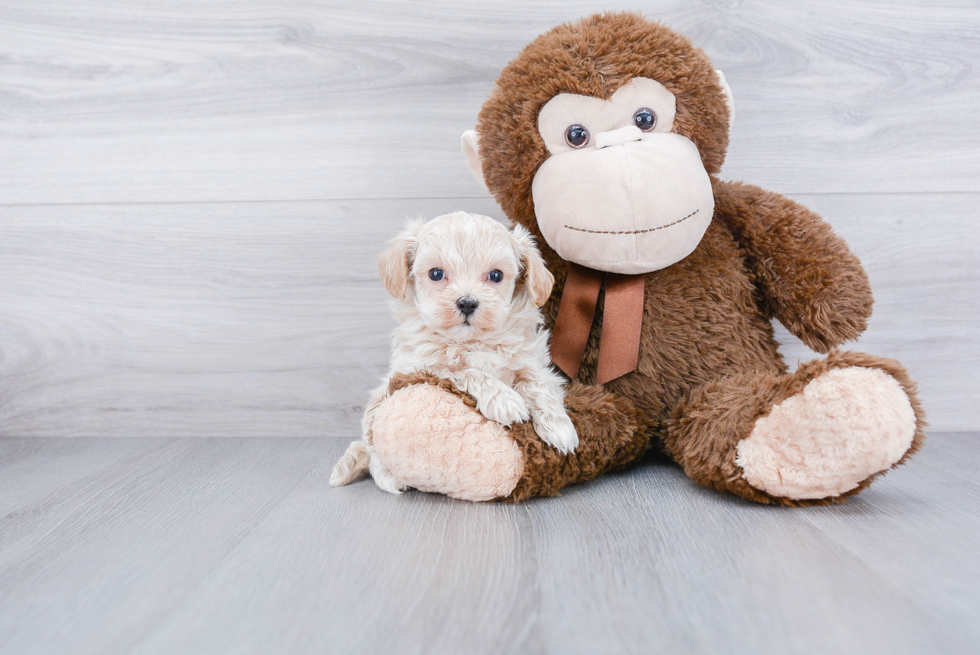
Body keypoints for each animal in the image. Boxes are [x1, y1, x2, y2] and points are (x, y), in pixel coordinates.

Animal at [332, 213, 576, 494]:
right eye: (436, 273)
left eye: (496, 275)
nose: (467, 303)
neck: (472, 342)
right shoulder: (421, 367)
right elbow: (464, 371)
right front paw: (504, 400)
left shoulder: (533, 362)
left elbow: (538, 385)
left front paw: (560, 428)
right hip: (376, 408)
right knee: (371, 449)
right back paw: (388, 477)